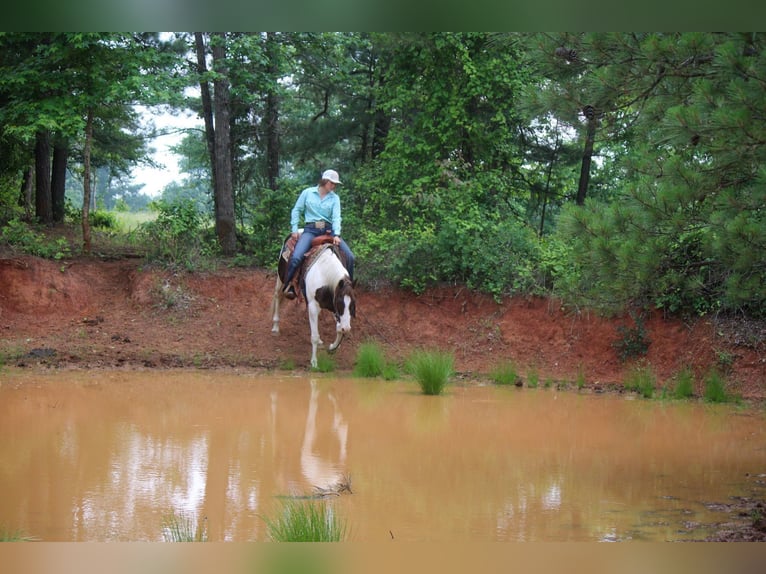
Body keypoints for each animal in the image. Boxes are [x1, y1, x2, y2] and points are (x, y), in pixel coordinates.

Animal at [272, 234, 358, 368]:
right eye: (340, 303)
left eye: (353, 305)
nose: (347, 328)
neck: (325, 274)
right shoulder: (314, 306)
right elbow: (314, 336)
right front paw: (314, 361)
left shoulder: (333, 308)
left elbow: (338, 329)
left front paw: (332, 347)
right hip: (280, 278)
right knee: (277, 296)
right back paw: (275, 327)